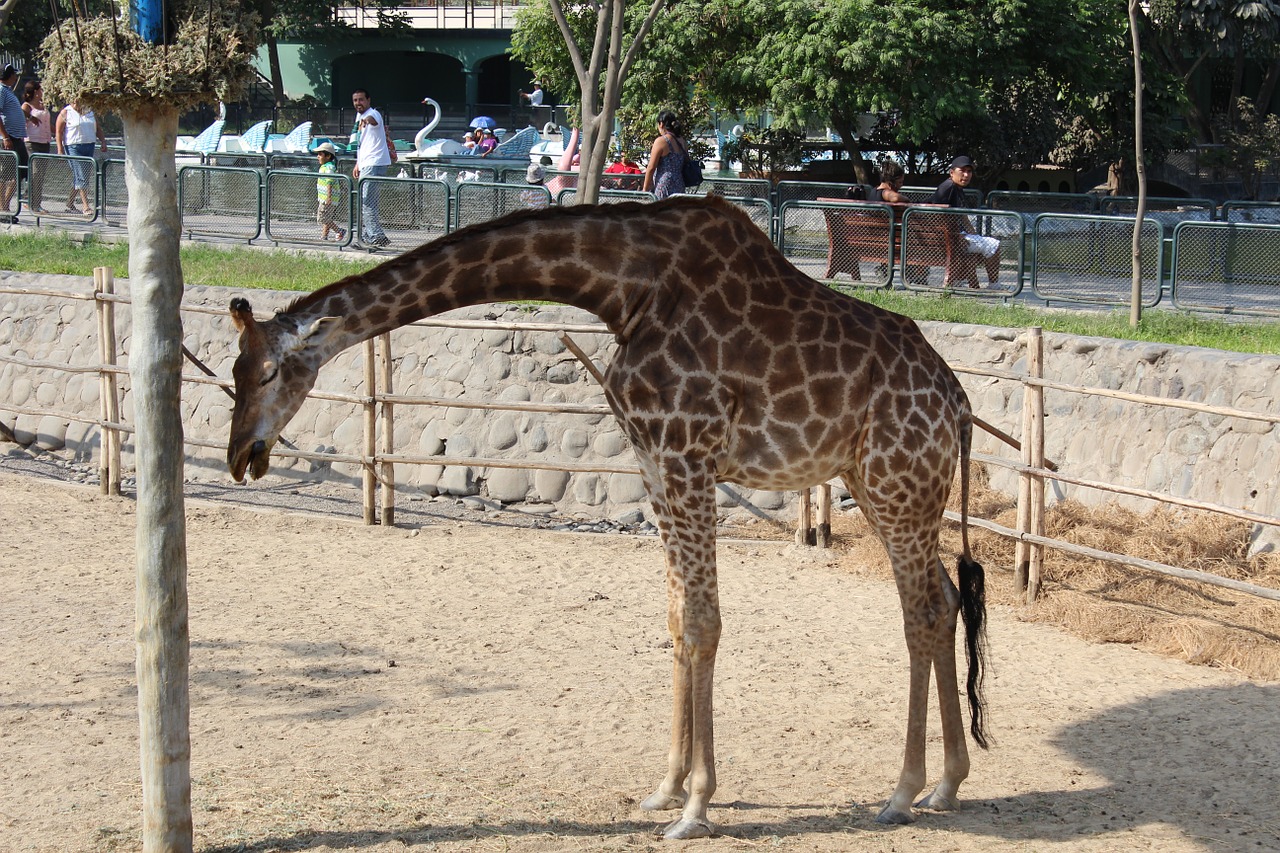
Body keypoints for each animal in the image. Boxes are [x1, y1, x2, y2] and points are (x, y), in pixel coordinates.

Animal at [225, 194, 988, 835]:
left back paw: (903, 791)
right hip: (885, 483)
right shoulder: (653, 459)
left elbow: (705, 622)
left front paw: (697, 807)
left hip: (896, 482)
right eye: (234, 373)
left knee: (922, 611)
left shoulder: (687, 454)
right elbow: (678, 619)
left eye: (268, 371)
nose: (241, 454)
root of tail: (956, 399)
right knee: (947, 599)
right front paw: (667, 787)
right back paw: (947, 783)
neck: (623, 292)